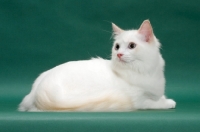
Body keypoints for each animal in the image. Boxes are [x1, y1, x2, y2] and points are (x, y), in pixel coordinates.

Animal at [18, 19, 175, 111]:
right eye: (117, 47)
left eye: (131, 46)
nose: (119, 54)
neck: (144, 71)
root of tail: (37, 91)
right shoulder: (139, 100)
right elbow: (154, 103)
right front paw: (169, 103)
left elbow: (159, 97)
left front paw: (164, 98)